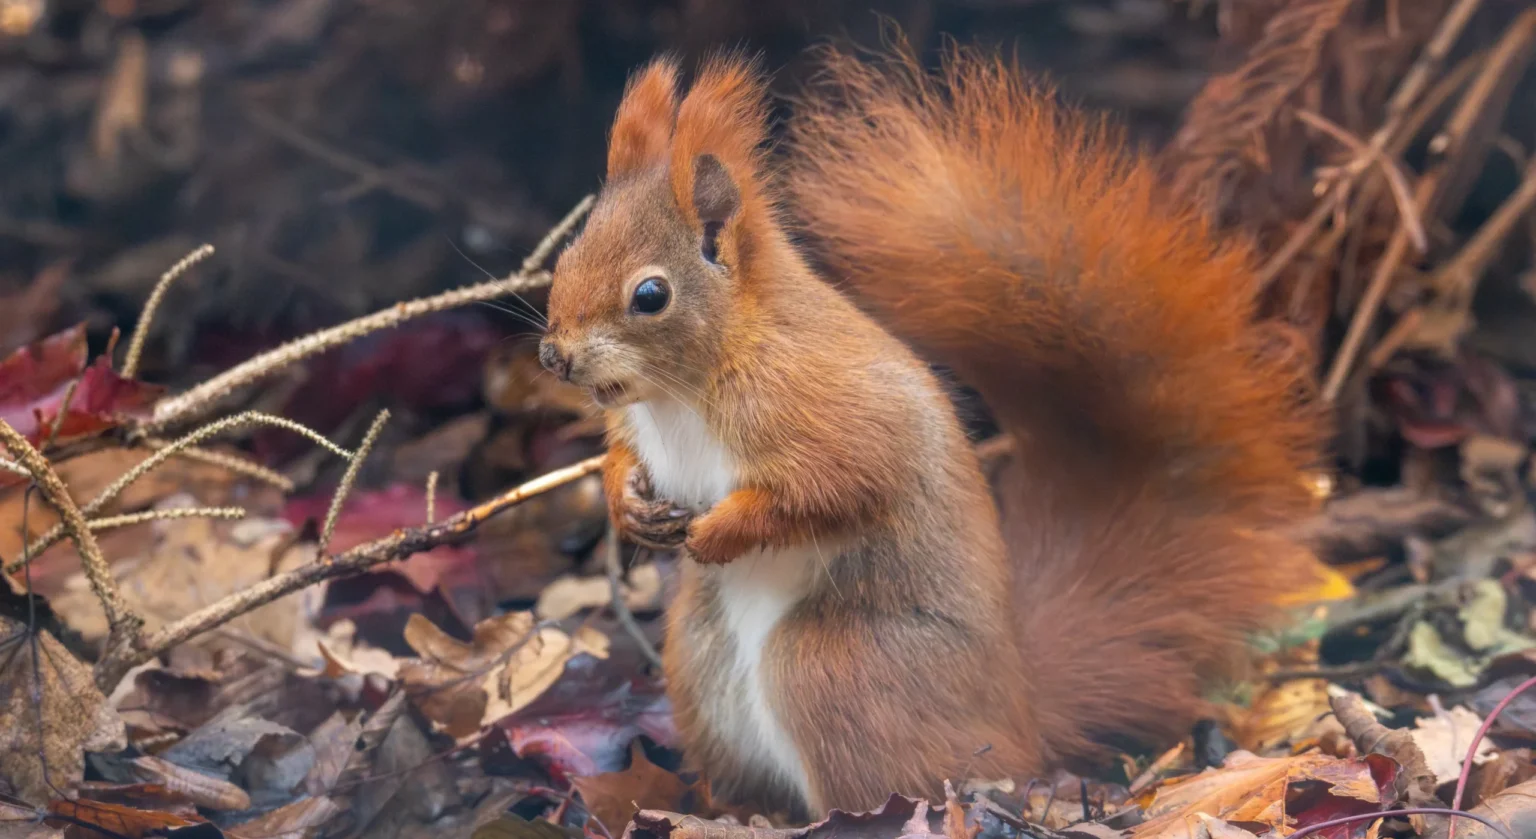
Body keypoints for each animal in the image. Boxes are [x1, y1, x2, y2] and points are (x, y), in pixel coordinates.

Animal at [537, 46, 1321, 818]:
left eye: (651, 295)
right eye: (567, 256)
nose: (555, 355)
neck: (683, 392)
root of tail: (1019, 709)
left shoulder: (826, 408)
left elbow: (834, 486)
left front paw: (719, 532)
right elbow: (621, 457)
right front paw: (627, 503)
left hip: (834, 669)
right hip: (700, 660)